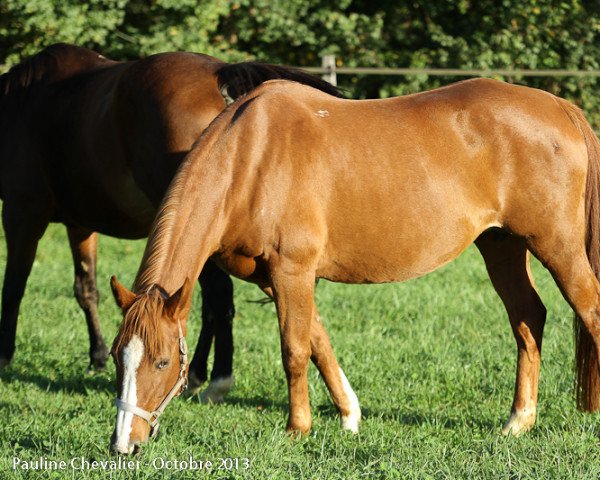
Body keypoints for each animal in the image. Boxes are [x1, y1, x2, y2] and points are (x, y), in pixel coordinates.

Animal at [0, 44, 346, 402]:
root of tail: (220, 75)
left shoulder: (22, 213)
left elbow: (13, 287)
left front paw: (4, 356)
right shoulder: (80, 225)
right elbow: (86, 290)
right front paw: (96, 356)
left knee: (217, 297)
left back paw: (214, 377)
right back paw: (197, 374)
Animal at [110, 77, 600, 452]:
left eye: (161, 362)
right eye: (118, 357)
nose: (123, 444)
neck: (251, 158)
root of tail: (559, 107)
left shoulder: (293, 270)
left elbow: (294, 349)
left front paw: (297, 429)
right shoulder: (275, 278)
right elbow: (317, 339)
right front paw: (348, 415)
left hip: (557, 247)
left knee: (589, 311)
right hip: (502, 246)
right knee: (528, 319)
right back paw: (519, 421)